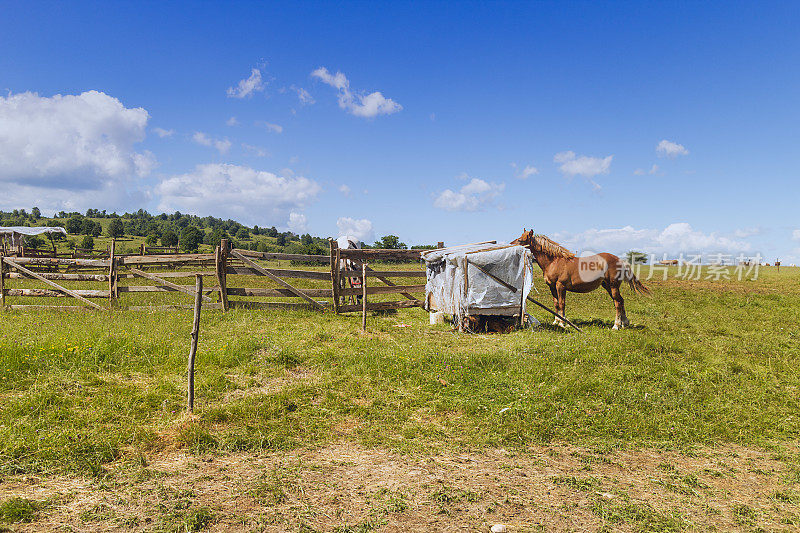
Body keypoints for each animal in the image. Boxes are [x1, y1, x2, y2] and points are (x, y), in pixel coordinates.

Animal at [512, 229, 648, 328]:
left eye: (521, 239)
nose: (510, 245)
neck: (554, 261)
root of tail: (620, 260)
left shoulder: (560, 286)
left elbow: (561, 304)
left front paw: (563, 323)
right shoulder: (552, 287)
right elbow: (556, 304)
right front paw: (556, 321)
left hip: (613, 286)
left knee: (618, 303)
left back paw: (616, 325)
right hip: (607, 286)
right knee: (620, 301)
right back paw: (624, 323)